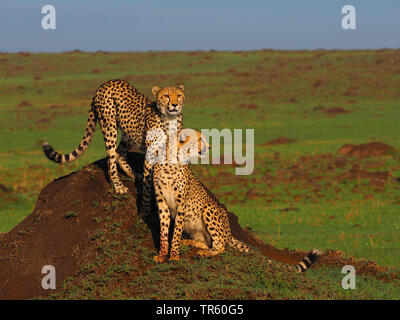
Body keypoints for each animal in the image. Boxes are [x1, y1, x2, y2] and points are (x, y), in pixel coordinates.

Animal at [40, 79, 184, 215]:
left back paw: (133, 173)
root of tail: (105, 83)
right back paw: (118, 185)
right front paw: (146, 209)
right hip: (109, 127)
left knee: (119, 152)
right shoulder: (151, 153)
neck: (169, 119)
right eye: (166, 96)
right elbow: (148, 182)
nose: (174, 105)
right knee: (111, 161)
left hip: (129, 133)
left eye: (179, 95)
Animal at [152, 129, 320, 272]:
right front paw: (162, 254)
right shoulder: (162, 202)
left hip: (209, 208)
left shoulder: (181, 204)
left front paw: (174, 255)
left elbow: (176, 230)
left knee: (220, 246)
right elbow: (164, 229)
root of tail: (229, 232)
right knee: (205, 243)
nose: (209, 147)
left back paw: (203, 252)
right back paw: (188, 243)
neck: (172, 160)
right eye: (199, 139)